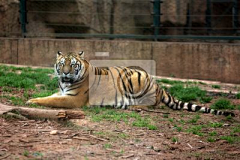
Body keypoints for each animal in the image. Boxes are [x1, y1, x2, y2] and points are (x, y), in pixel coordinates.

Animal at [26, 51, 234, 117]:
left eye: (73, 64)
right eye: (62, 64)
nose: (65, 72)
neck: (65, 83)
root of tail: (159, 86)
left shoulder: (73, 100)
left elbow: (50, 101)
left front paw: (30, 102)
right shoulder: (62, 93)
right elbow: (49, 97)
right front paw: (32, 99)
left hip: (136, 76)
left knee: (152, 104)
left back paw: (131, 106)